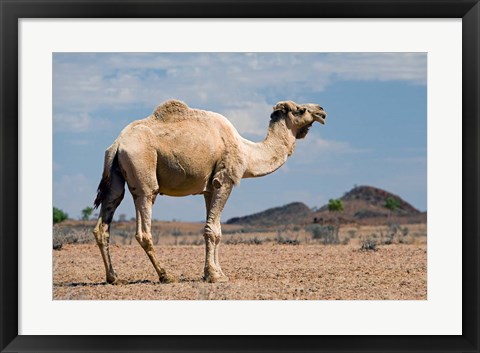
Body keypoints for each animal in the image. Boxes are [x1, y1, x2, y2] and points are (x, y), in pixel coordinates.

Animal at [93, 99, 326, 284]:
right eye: (301, 109)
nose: (322, 111)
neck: (246, 151)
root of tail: (117, 144)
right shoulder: (225, 180)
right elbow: (212, 230)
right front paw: (215, 276)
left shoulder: (209, 188)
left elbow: (216, 231)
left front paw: (215, 272)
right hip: (143, 170)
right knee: (144, 221)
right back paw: (166, 275)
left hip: (116, 176)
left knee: (105, 220)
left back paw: (113, 277)